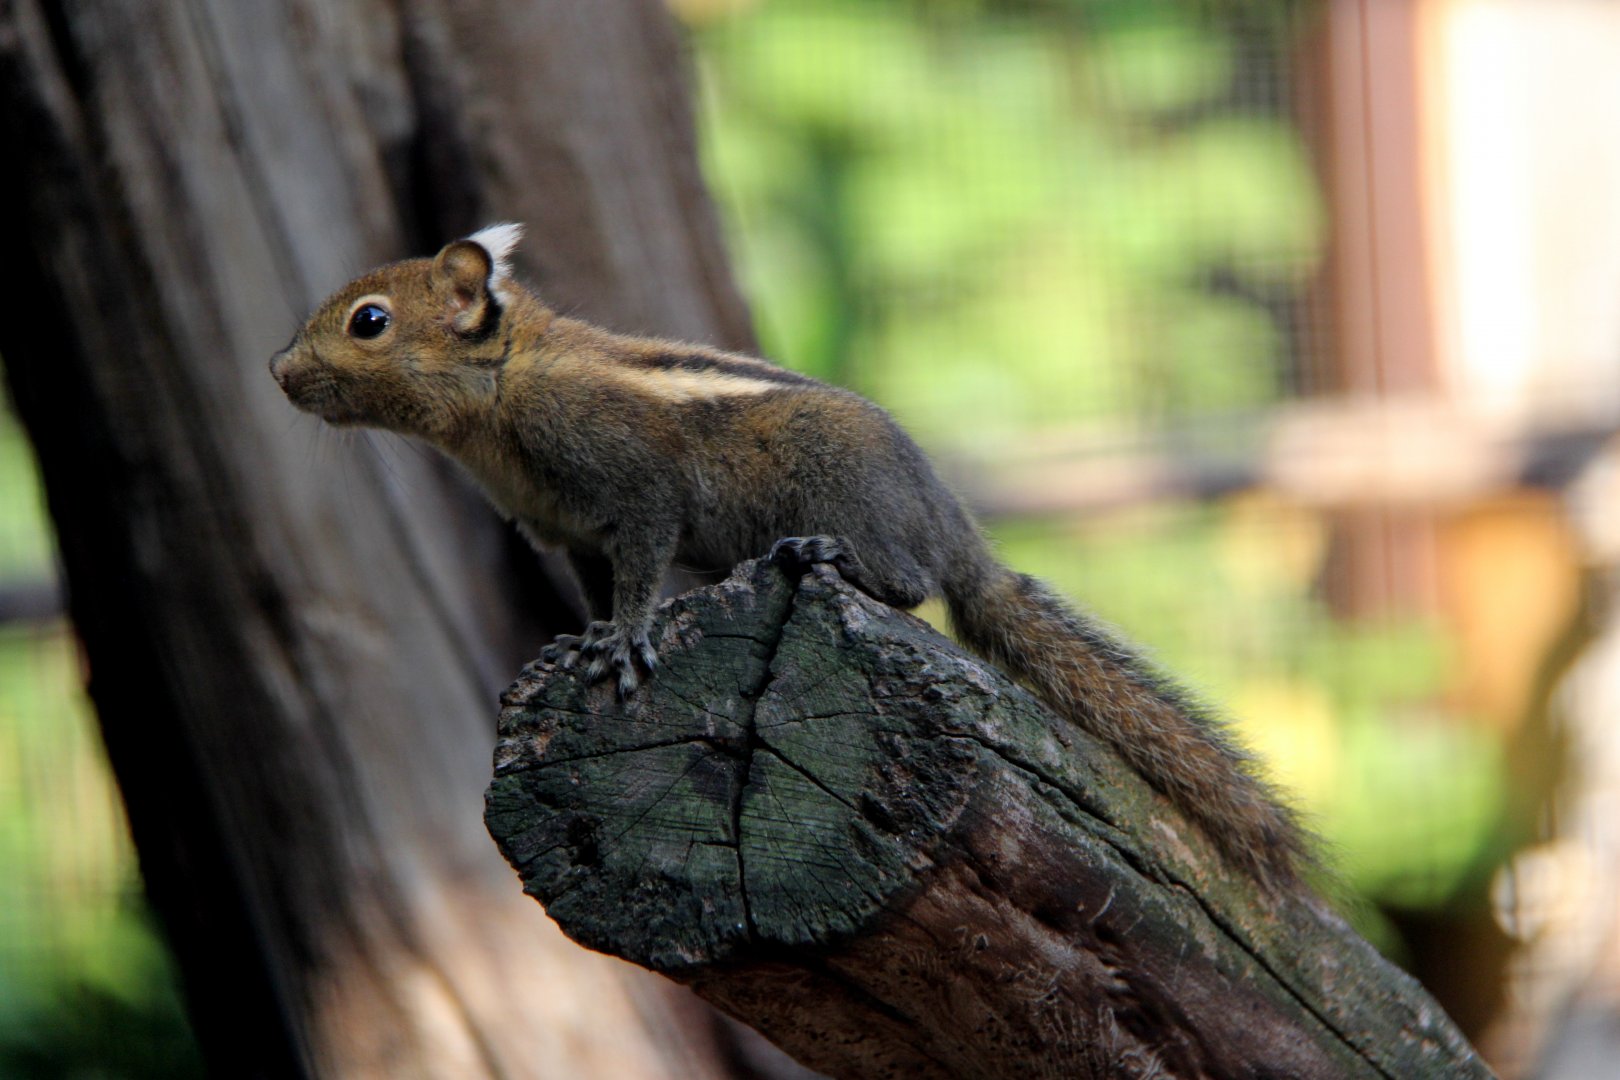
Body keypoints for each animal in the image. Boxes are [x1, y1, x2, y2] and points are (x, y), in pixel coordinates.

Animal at [270, 224, 1310, 891]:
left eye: (369, 321)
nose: (277, 372)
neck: (506, 382)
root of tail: (949, 523)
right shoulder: (569, 532)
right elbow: (597, 588)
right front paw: (580, 641)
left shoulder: (635, 494)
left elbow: (643, 570)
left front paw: (626, 640)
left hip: (848, 494)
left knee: (911, 586)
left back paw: (829, 555)